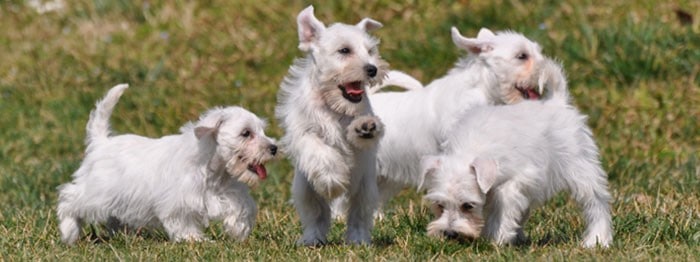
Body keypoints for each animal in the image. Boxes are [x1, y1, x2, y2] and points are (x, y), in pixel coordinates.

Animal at [274, 5, 386, 246]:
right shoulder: (303, 132)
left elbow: (360, 134)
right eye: (344, 50)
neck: (334, 106)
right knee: (317, 216)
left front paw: (364, 127)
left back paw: (359, 240)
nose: (372, 69)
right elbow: (319, 149)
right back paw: (312, 239)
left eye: (370, 51)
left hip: (365, 189)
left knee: (358, 216)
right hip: (306, 192)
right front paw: (332, 180)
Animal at [422, 59, 612, 248]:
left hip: (580, 169)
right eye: (439, 205)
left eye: (468, 205)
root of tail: (557, 102)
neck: (471, 149)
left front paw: (496, 237)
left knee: (596, 204)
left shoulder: (524, 177)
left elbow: (503, 200)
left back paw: (597, 239)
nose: (449, 233)